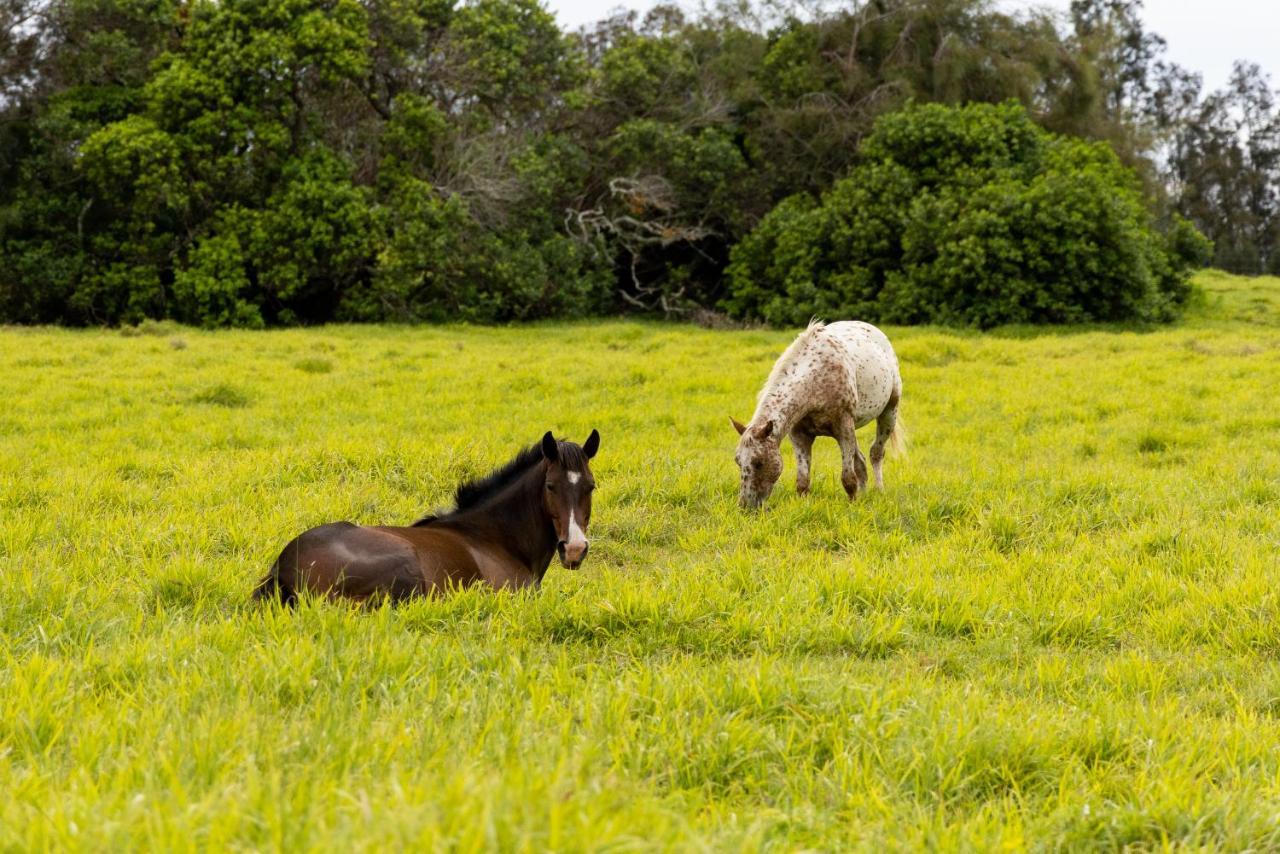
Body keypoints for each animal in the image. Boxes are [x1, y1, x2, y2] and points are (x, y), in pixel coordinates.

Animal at [737, 320, 906, 507]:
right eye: (738, 461)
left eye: (758, 463)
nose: (745, 505)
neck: (815, 380)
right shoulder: (800, 435)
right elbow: (803, 482)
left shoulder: (844, 428)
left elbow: (848, 479)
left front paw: (852, 506)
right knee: (861, 462)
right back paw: (864, 494)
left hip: (889, 413)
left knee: (876, 453)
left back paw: (879, 490)